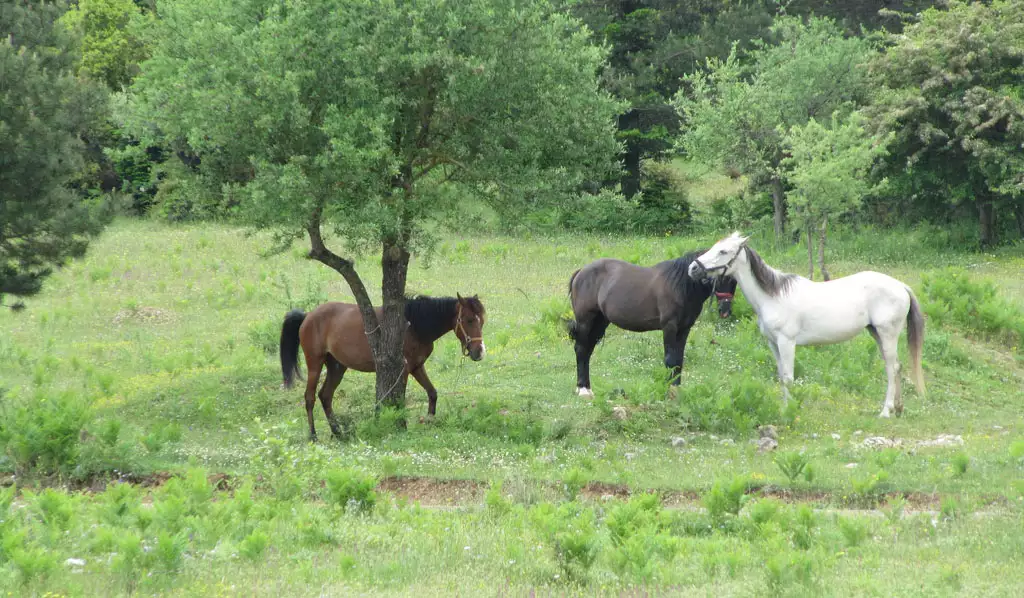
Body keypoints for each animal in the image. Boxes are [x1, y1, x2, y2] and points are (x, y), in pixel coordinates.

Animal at [278, 294, 485, 438]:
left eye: (482, 321)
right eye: (468, 320)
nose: (479, 352)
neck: (413, 325)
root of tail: (307, 316)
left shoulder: (417, 367)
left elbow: (432, 393)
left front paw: (429, 420)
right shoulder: (405, 370)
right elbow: (399, 399)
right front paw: (401, 425)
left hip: (337, 367)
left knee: (325, 396)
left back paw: (338, 432)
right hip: (315, 363)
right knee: (310, 397)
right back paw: (313, 435)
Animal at [569, 250, 737, 397]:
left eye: (735, 279)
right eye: (722, 276)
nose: (725, 311)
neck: (680, 285)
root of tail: (581, 271)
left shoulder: (684, 329)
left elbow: (678, 360)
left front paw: (676, 390)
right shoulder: (669, 327)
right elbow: (670, 359)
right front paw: (670, 391)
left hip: (600, 322)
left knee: (588, 351)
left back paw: (587, 388)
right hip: (585, 321)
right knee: (581, 349)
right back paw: (582, 390)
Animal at [692, 231, 925, 417]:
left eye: (723, 251)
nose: (693, 268)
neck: (773, 296)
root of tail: (901, 286)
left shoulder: (787, 342)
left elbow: (788, 377)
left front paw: (790, 410)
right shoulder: (773, 343)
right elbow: (781, 376)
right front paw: (785, 408)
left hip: (887, 333)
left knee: (891, 368)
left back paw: (886, 411)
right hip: (876, 332)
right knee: (896, 367)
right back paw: (898, 408)